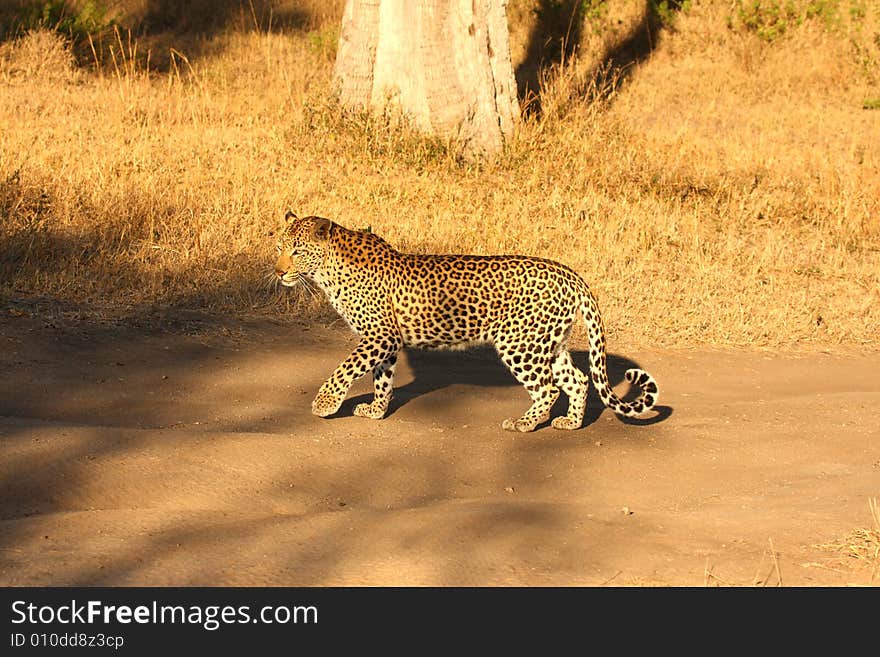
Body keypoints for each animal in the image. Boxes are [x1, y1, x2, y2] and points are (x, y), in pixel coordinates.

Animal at [276, 213, 660, 434]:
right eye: (279, 247)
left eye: (297, 251)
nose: (279, 272)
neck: (327, 270)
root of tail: (570, 274)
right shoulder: (388, 342)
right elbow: (382, 379)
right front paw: (375, 410)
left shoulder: (379, 336)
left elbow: (345, 368)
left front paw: (325, 403)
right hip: (549, 342)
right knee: (577, 380)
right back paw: (571, 423)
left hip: (519, 344)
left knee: (548, 388)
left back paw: (523, 424)